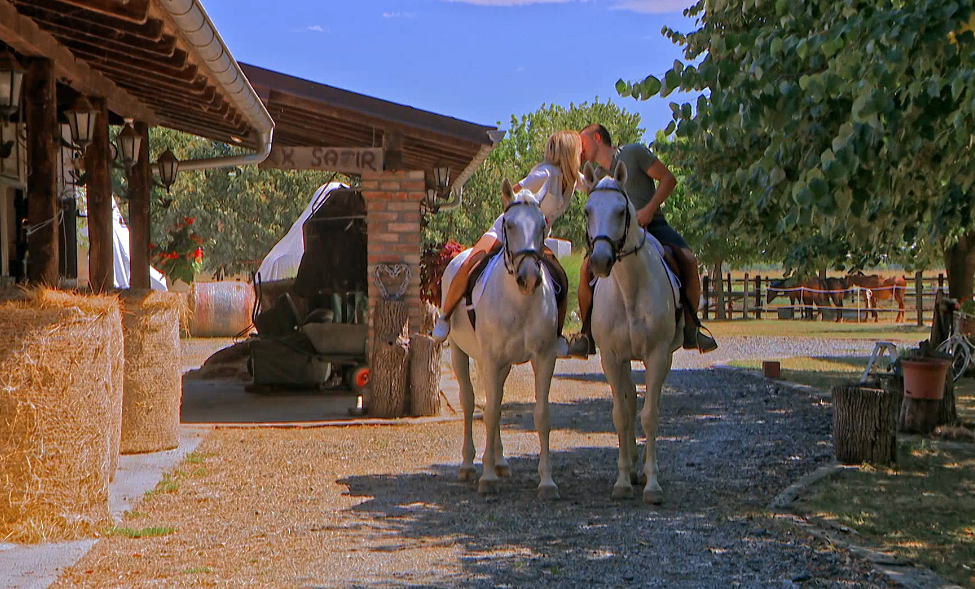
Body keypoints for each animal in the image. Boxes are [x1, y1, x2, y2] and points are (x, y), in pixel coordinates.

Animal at [440, 178, 556, 496]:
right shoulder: (490, 359)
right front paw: (487, 477)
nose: (529, 278)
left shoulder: (544, 357)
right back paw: (469, 465)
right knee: (470, 403)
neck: (519, 302)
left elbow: (540, 415)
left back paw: (500, 460)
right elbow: (488, 412)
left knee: (496, 400)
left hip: (501, 364)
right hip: (461, 352)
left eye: (543, 225)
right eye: (509, 223)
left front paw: (546, 481)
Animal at [584, 161, 684, 506]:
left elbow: (650, 416)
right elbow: (621, 415)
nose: (600, 261)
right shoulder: (612, 358)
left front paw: (652, 484)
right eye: (587, 210)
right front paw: (622, 480)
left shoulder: (657, 356)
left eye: (621, 210)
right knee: (628, 403)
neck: (629, 289)